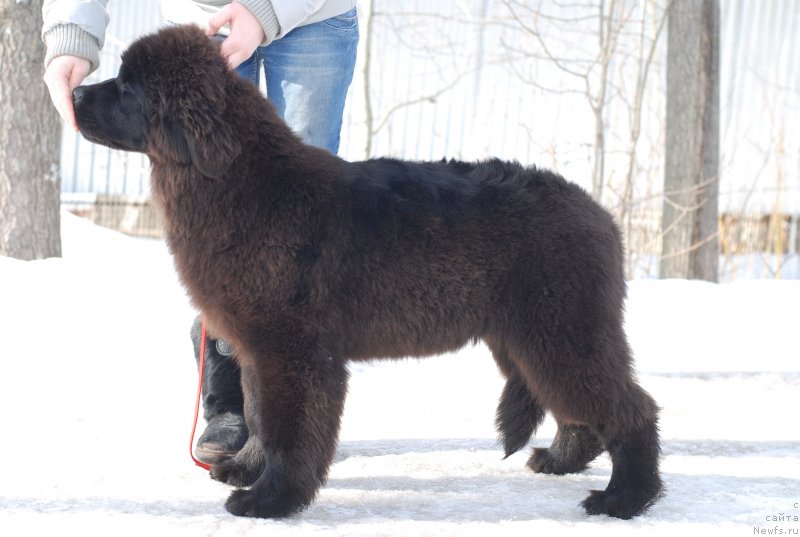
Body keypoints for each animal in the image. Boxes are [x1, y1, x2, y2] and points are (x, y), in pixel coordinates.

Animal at [73, 25, 664, 520]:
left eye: (127, 87)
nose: (74, 93)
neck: (241, 183)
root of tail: (601, 214)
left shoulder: (294, 349)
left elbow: (288, 428)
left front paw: (270, 499)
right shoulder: (258, 349)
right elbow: (260, 416)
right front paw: (245, 469)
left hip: (561, 333)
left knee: (632, 409)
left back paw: (625, 498)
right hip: (527, 340)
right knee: (578, 410)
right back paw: (562, 461)